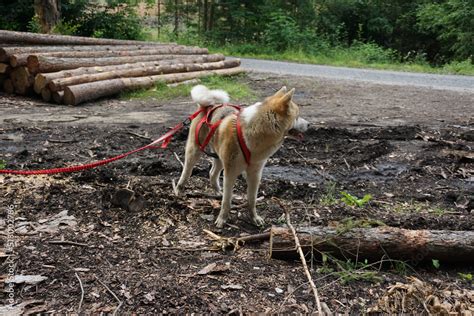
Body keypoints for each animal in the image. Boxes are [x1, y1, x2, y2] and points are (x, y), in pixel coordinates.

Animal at [176, 84, 310, 227]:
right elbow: (227, 201)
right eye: (297, 116)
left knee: (212, 173)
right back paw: (179, 189)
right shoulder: (230, 173)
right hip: (195, 151)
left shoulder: (255, 174)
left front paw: (254, 218)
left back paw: (218, 192)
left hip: (220, 157)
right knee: (187, 171)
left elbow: (252, 200)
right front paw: (222, 219)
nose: (309, 124)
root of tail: (210, 105)